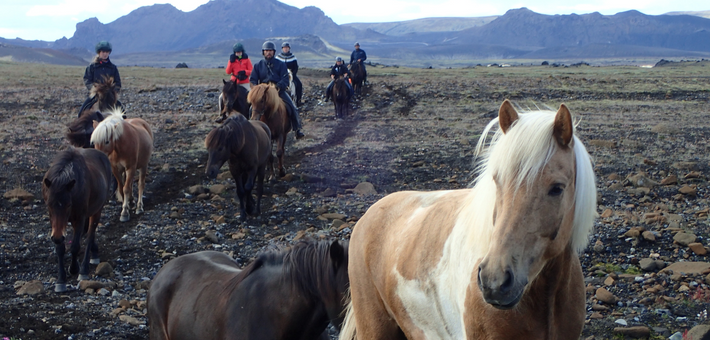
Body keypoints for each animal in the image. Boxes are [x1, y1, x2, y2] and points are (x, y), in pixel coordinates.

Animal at [42, 146, 112, 292]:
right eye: (49, 205)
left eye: (68, 204)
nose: (57, 237)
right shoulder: (55, 225)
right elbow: (60, 248)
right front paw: (60, 280)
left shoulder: (79, 218)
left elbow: (75, 246)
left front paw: (74, 269)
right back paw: (94, 253)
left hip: (97, 210)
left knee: (90, 235)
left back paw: (84, 268)